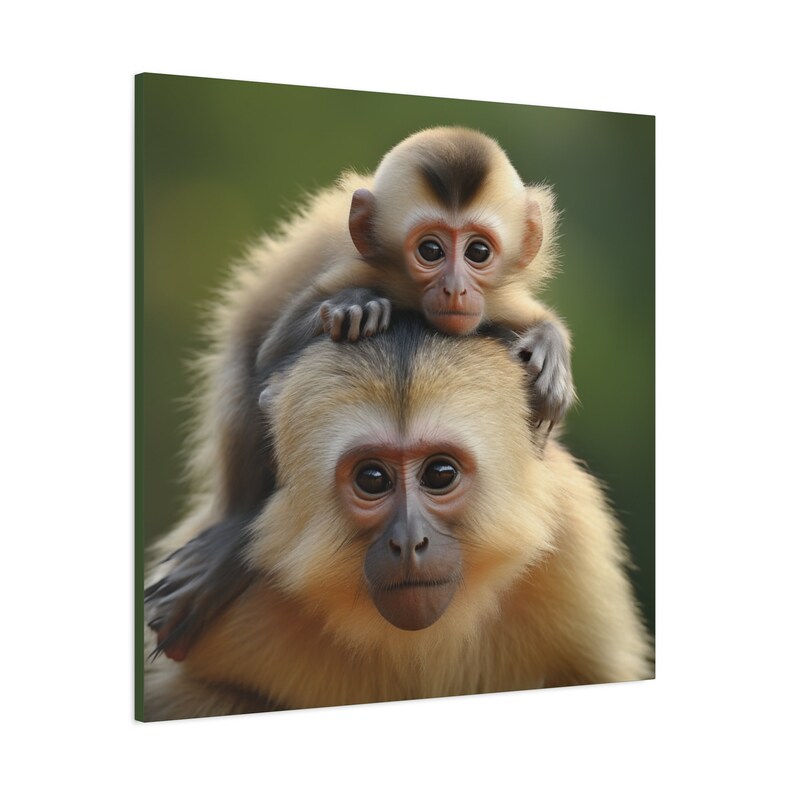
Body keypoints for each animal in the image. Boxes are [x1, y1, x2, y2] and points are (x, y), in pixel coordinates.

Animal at [145, 127, 575, 661]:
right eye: (430, 251)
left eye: (478, 252)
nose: (456, 290)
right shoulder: (344, 271)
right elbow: (269, 371)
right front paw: (355, 308)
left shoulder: (497, 297)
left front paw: (550, 352)